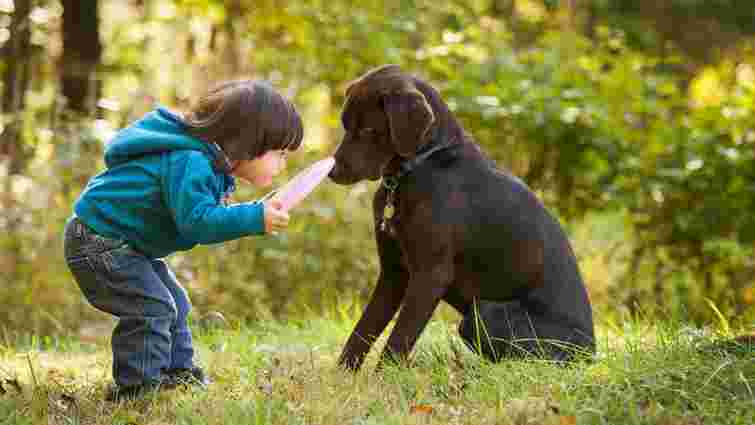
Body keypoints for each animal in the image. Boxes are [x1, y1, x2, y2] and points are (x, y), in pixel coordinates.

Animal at [330, 64, 596, 370]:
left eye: (369, 129)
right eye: (345, 125)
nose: (332, 172)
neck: (420, 165)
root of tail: (590, 354)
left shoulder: (431, 274)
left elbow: (397, 341)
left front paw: (383, 378)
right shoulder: (393, 272)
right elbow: (362, 331)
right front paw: (341, 377)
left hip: (483, 313)